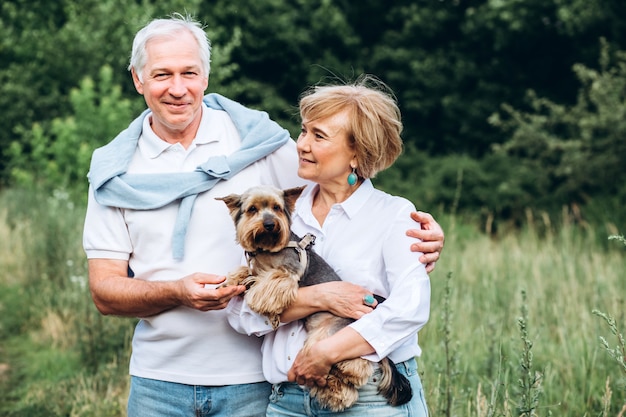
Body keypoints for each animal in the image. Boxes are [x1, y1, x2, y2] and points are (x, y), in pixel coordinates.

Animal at [217, 184, 412, 410]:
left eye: (276, 208)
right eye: (252, 209)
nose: (269, 224)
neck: (267, 248)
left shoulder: (288, 273)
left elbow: (270, 281)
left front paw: (259, 299)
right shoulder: (255, 268)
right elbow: (246, 272)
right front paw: (231, 282)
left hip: (331, 334)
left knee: (358, 362)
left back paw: (348, 372)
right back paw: (335, 392)